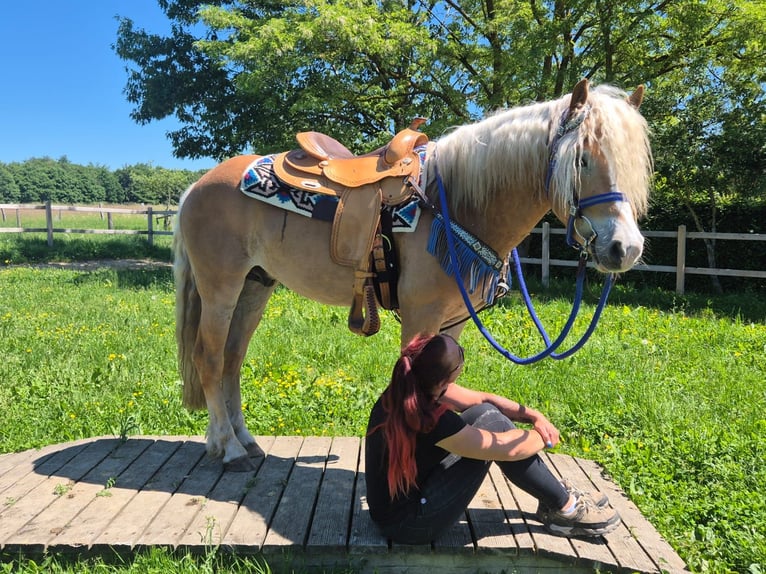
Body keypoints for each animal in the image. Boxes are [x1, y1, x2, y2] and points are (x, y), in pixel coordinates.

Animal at [173, 79, 652, 470]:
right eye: (583, 159)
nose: (624, 248)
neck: (453, 202)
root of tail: (196, 186)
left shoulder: (454, 322)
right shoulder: (420, 318)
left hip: (255, 287)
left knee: (233, 360)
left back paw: (244, 441)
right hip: (221, 288)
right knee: (210, 358)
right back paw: (228, 449)